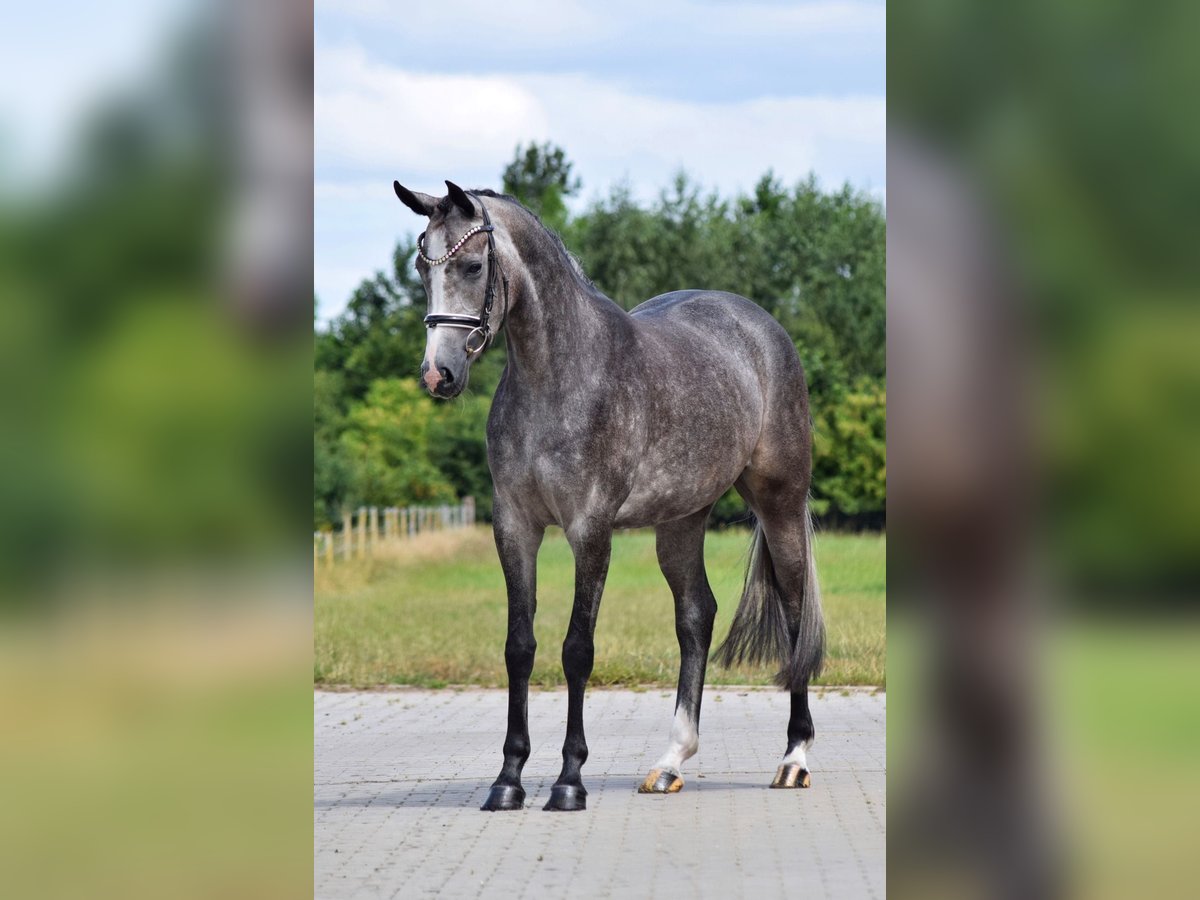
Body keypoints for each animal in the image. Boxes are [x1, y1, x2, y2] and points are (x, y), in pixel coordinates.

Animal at [393, 180, 825, 816]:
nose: (437, 374)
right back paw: (671, 762)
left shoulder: (589, 529)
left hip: (780, 502)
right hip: (682, 520)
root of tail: (761, 327)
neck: (561, 377)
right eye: (423, 266)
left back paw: (794, 758)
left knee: (795, 613)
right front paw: (509, 779)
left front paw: (568, 781)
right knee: (696, 616)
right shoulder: (514, 526)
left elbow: (577, 648)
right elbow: (519, 647)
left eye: (472, 266)